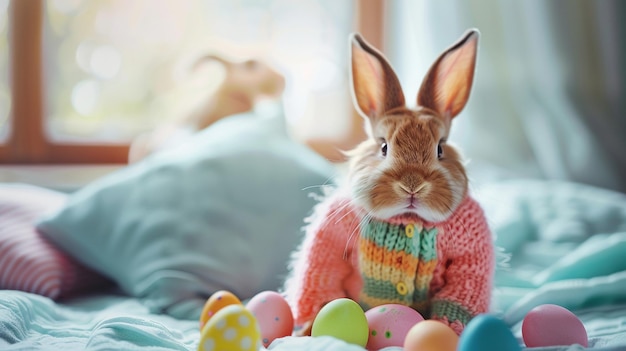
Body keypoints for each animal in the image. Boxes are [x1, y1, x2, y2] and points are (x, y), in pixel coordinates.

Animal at [282, 28, 492, 336]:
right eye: (383, 147)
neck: (408, 217)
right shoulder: (335, 225)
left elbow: (465, 279)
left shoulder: (471, 239)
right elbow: (323, 263)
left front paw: (446, 329)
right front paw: (311, 325)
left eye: (440, 149)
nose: (412, 185)